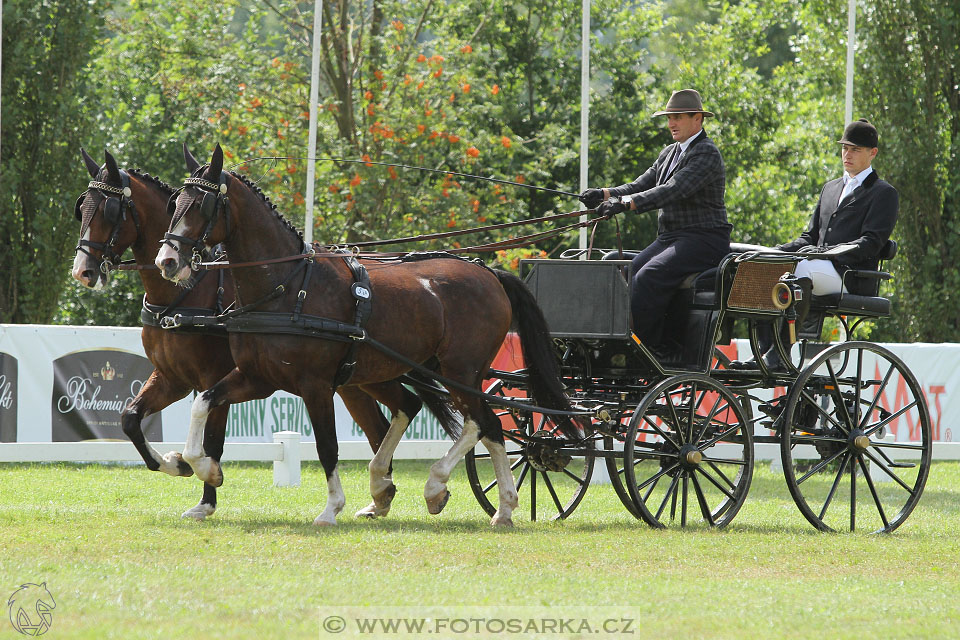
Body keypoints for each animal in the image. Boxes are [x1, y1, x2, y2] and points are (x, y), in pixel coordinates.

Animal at [71, 149, 454, 520]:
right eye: (82, 207)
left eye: (109, 210)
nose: (82, 271)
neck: (188, 293)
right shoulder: (173, 377)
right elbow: (130, 419)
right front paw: (175, 464)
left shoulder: (215, 375)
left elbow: (213, 440)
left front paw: (206, 494)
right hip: (361, 378)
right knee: (393, 415)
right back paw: (381, 495)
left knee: (398, 414)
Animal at [153, 144, 572, 524]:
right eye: (174, 202)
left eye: (202, 205)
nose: (167, 262)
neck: (287, 287)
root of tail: (489, 274)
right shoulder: (258, 377)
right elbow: (203, 402)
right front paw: (200, 467)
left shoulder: (315, 385)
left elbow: (327, 446)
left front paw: (330, 509)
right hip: (433, 369)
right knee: (481, 425)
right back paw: (497, 507)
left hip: (460, 371)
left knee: (482, 423)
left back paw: (445, 489)